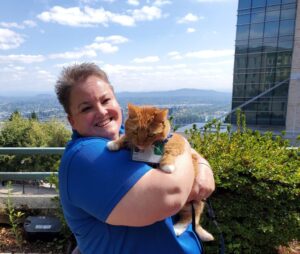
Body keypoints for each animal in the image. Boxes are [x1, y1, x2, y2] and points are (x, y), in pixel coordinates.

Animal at [106, 102, 214, 240]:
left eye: (150, 134)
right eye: (135, 131)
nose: (140, 144)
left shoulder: (177, 142)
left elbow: (170, 150)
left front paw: (167, 165)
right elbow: (125, 138)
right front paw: (114, 143)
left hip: (191, 204)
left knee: (189, 219)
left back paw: (177, 228)